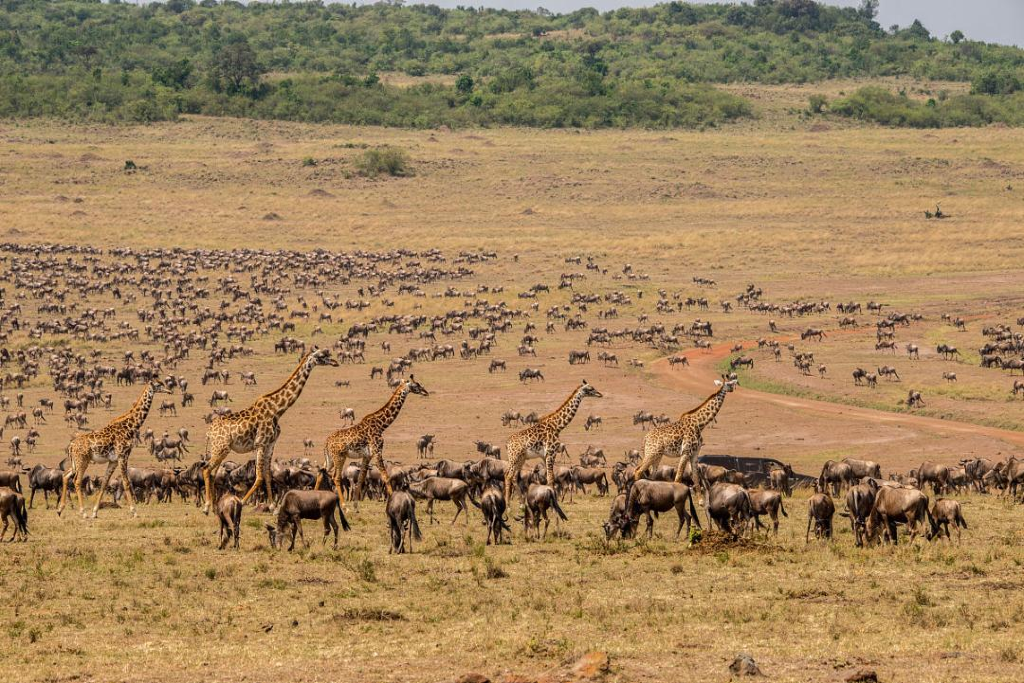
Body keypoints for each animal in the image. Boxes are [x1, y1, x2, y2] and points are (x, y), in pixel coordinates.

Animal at [56, 378, 168, 518]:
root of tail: (71, 445)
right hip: (83, 461)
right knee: (76, 480)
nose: (169, 390)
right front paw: (134, 512)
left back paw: (60, 509)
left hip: (76, 462)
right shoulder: (123, 456)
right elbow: (126, 483)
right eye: (159, 384)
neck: (130, 427)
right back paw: (83, 513)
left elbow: (104, 483)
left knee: (65, 475)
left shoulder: (113, 461)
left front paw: (95, 512)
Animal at [201, 350, 337, 516]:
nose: (335, 362)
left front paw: (273, 507)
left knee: (212, 473)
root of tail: (209, 431)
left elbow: (266, 474)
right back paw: (206, 507)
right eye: (322, 355)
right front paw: (242, 502)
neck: (277, 410)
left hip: (219, 449)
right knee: (206, 469)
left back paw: (214, 508)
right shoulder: (260, 443)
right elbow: (259, 476)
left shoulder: (271, 444)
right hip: (221, 448)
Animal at [319, 376, 432, 505]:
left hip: (330, 459)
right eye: (416, 384)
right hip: (339, 457)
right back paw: (343, 504)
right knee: (336, 477)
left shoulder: (367, 455)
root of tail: (326, 442)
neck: (381, 426)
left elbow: (362, 479)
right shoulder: (377, 451)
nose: (426, 392)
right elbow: (386, 477)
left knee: (321, 473)